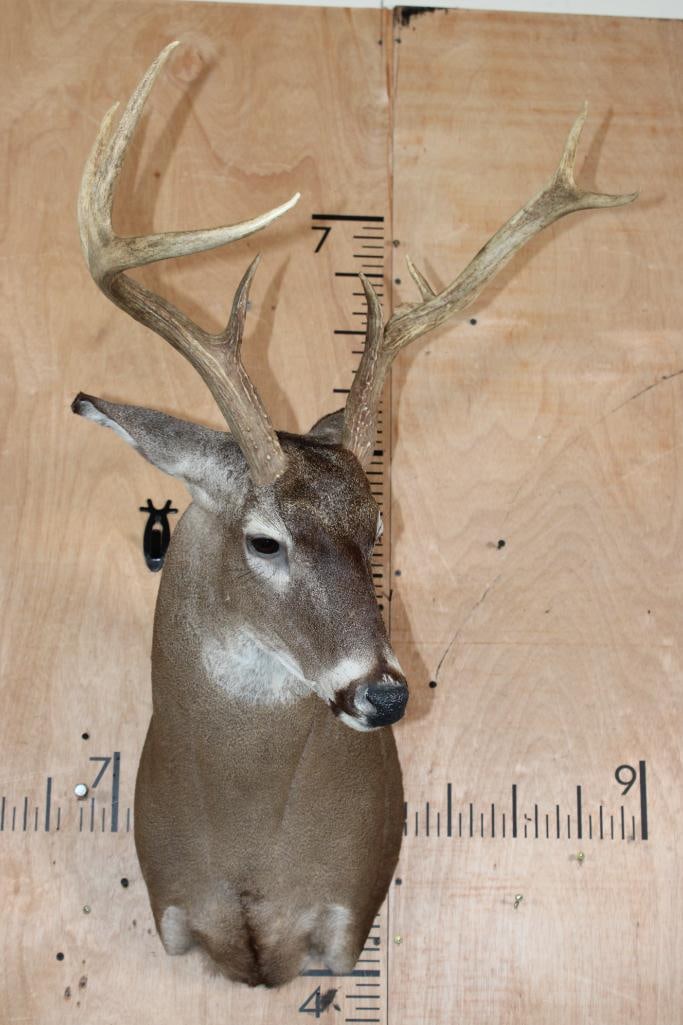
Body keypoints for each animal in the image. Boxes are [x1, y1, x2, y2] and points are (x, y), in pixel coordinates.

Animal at [71, 42, 636, 988]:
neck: (248, 849)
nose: (384, 695)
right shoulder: (174, 914)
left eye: (376, 531)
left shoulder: (345, 919)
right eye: (263, 539)